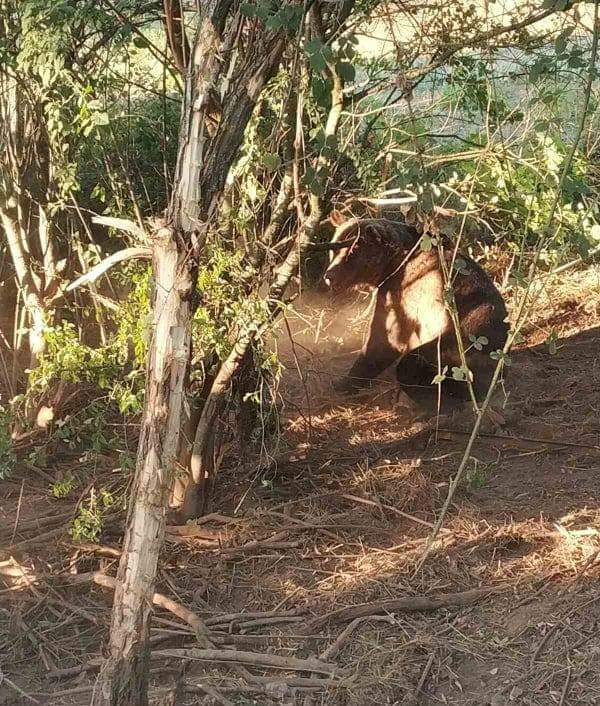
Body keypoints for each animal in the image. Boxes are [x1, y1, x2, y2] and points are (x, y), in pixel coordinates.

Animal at [326, 212, 508, 398]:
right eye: (334, 249)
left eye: (353, 250)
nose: (329, 275)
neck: (393, 263)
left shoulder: (400, 297)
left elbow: (383, 341)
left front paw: (344, 382)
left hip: (458, 337)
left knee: (414, 365)